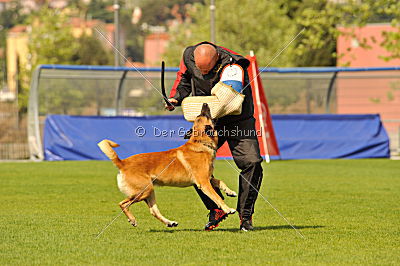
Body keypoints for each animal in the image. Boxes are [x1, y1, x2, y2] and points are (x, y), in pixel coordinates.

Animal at [98, 103, 236, 228]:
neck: (200, 142)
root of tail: (122, 163)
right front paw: (228, 209)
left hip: (149, 191)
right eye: (204, 115)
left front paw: (230, 192)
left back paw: (170, 223)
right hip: (144, 191)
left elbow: (221, 182)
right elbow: (217, 197)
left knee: (153, 211)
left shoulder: (208, 179)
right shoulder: (204, 183)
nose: (205, 103)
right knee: (123, 204)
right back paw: (132, 220)